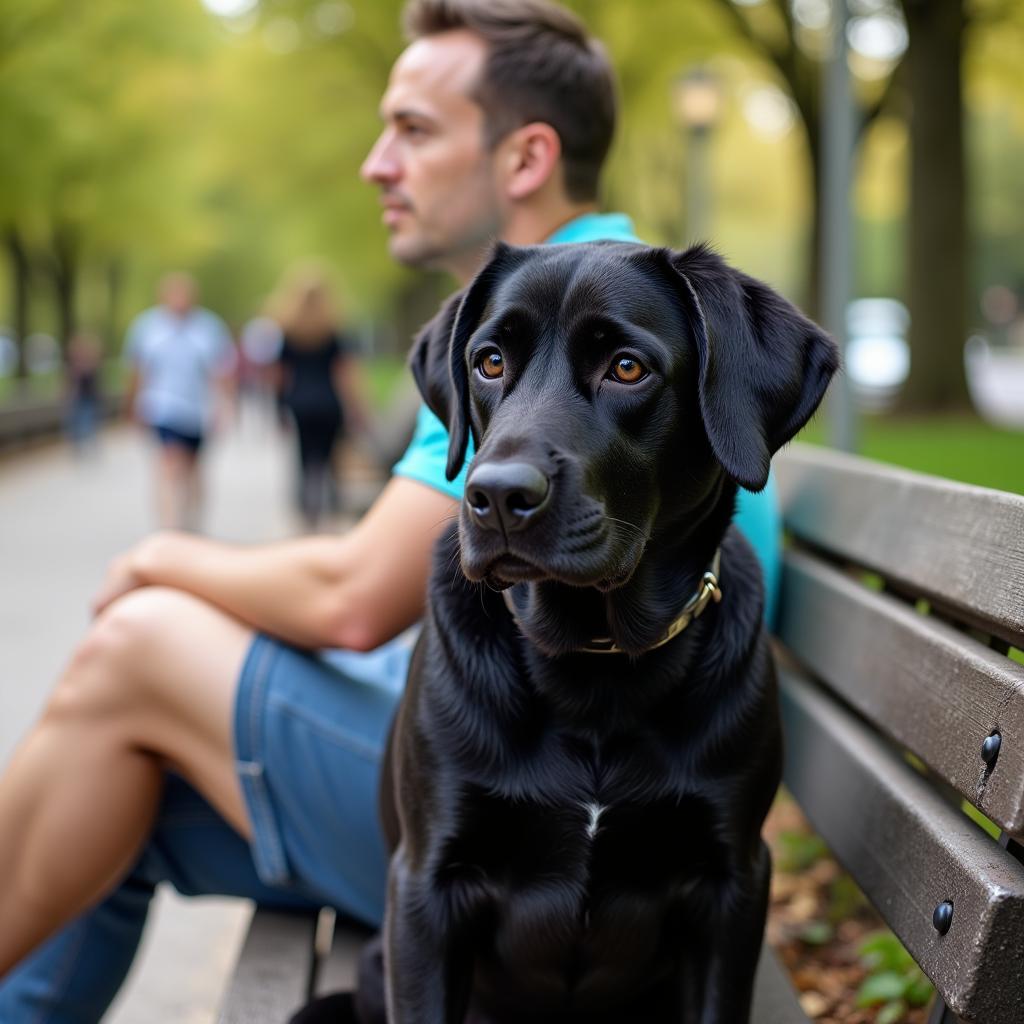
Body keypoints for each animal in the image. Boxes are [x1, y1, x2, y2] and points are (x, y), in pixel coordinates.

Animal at [299, 241, 839, 1024]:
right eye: (489, 361)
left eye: (627, 367)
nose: (495, 496)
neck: (595, 658)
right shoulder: (427, 888)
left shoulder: (733, 884)